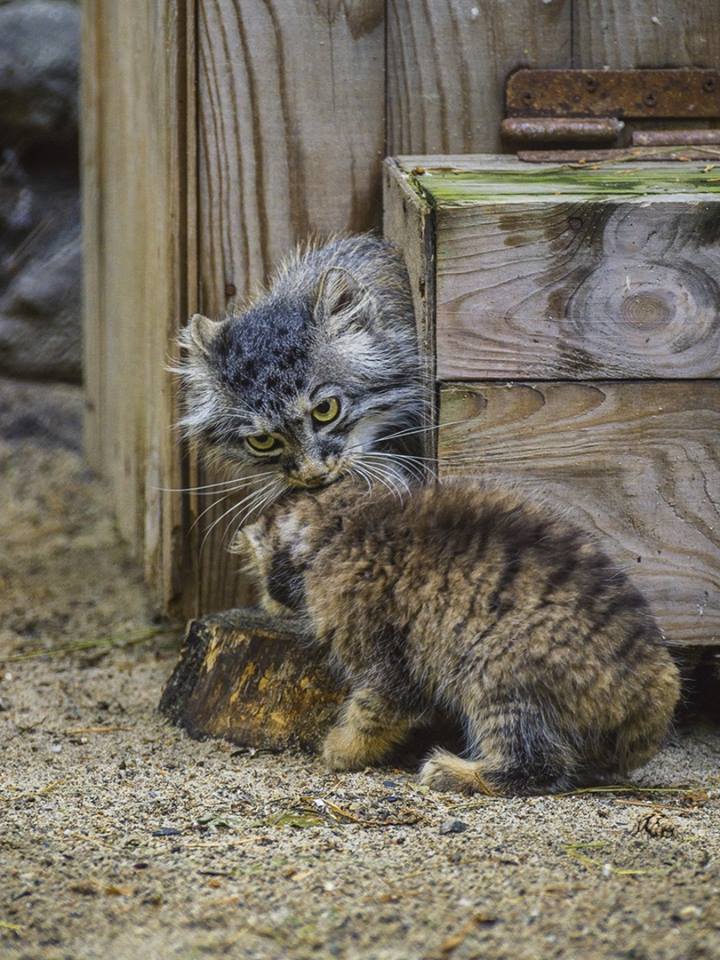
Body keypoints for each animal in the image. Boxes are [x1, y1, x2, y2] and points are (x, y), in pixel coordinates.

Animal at [236, 476, 680, 800]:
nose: (265, 600)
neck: (344, 525)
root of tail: (657, 690)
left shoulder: (389, 663)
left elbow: (372, 710)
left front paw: (343, 748)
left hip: (496, 669)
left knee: (538, 765)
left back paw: (454, 772)